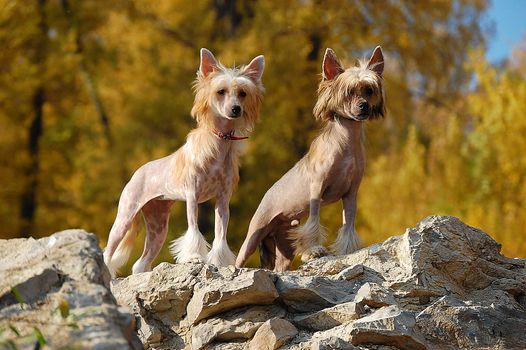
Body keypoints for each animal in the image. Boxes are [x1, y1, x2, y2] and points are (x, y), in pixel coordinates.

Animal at [104, 47, 266, 276]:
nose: (236, 109)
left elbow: (220, 234)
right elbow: (194, 230)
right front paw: (194, 257)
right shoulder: (192, 196)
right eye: (221, 91)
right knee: (107, 253)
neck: (219, 144)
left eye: (243, 93)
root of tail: (138, 171)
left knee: (141, 263)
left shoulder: (222, 201)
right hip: (125, 217)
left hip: (158, 224)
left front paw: (219, 261)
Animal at [237, 45, 386, 270]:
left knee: (281, 265)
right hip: (255, 234)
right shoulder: (317, 189)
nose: (364, 106)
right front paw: (313, 252)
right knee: (240, 257)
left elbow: (348, 224)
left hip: (284, 243)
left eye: (369, 90)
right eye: (348, 92)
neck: (347, 144)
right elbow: (314, 221)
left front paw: (347, 250)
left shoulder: (351, 194)